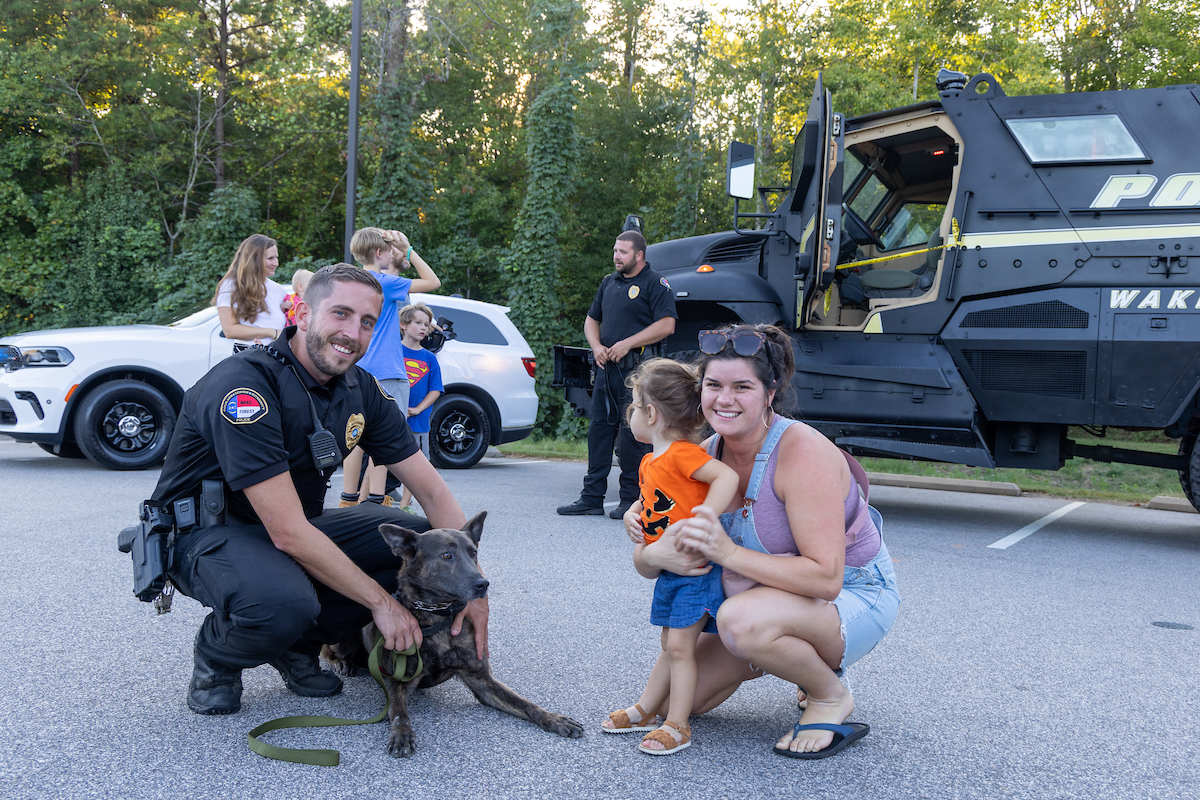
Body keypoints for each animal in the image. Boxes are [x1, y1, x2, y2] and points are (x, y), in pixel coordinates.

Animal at [322, 511, 585, 757]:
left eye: (473, 553)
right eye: (446, 555)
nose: (483, 584)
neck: (440, 618)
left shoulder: (482, 682)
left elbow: (524, 702)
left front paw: (554, 718)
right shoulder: (399, 681)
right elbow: (399, 712)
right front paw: (402, 734)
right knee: (328, 650)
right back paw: (342, 663)